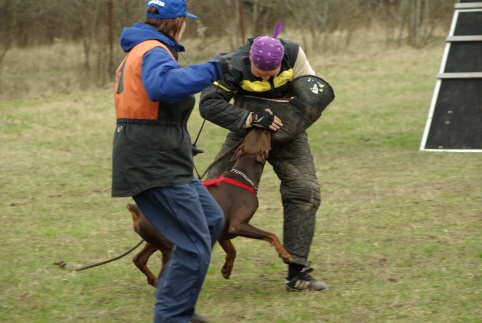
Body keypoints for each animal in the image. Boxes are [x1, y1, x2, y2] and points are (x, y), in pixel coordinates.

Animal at [127, 128, 290, 288]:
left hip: (157, 239)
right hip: (169, 245)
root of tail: (137, 211)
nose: (258, 125)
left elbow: (232, 251)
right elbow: (271, 235)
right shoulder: (237, 225)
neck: (243, 176)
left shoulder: (223, 231)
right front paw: (285, 255)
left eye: (251, 133)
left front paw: (226, 269)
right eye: (265, 134)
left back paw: (153, 280)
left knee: (139, 259)